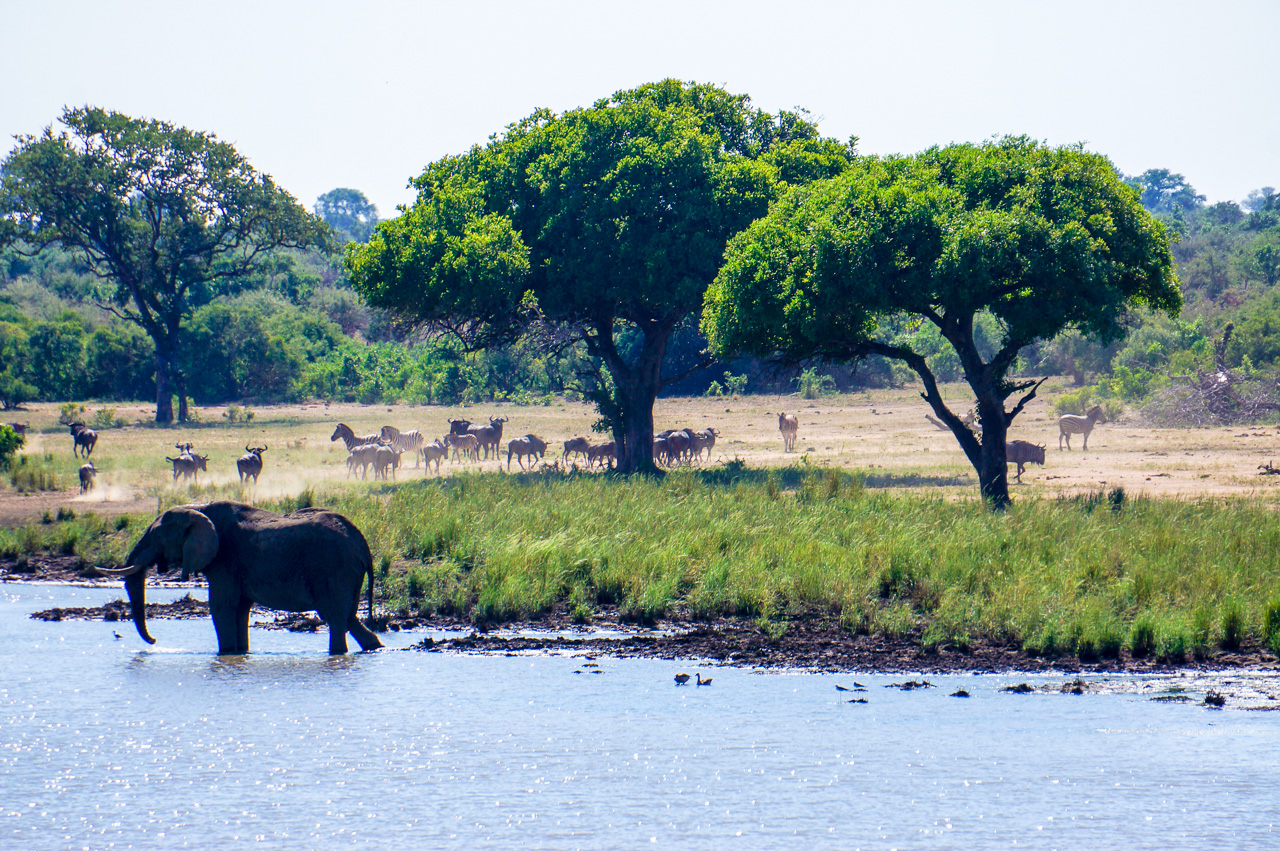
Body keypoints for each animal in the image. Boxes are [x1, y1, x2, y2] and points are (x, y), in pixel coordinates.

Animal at [97, 501, 381, 652]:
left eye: (157, 536)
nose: (155, 641)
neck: (199, 508)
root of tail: (362, 543)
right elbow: (241, 608)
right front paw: (239, 653)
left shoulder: (225, 560)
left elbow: (222, 606)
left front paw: (225, 653)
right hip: (346, 573)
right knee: (349, 617)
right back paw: (374, 647)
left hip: (333, 569)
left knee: (335, 617)